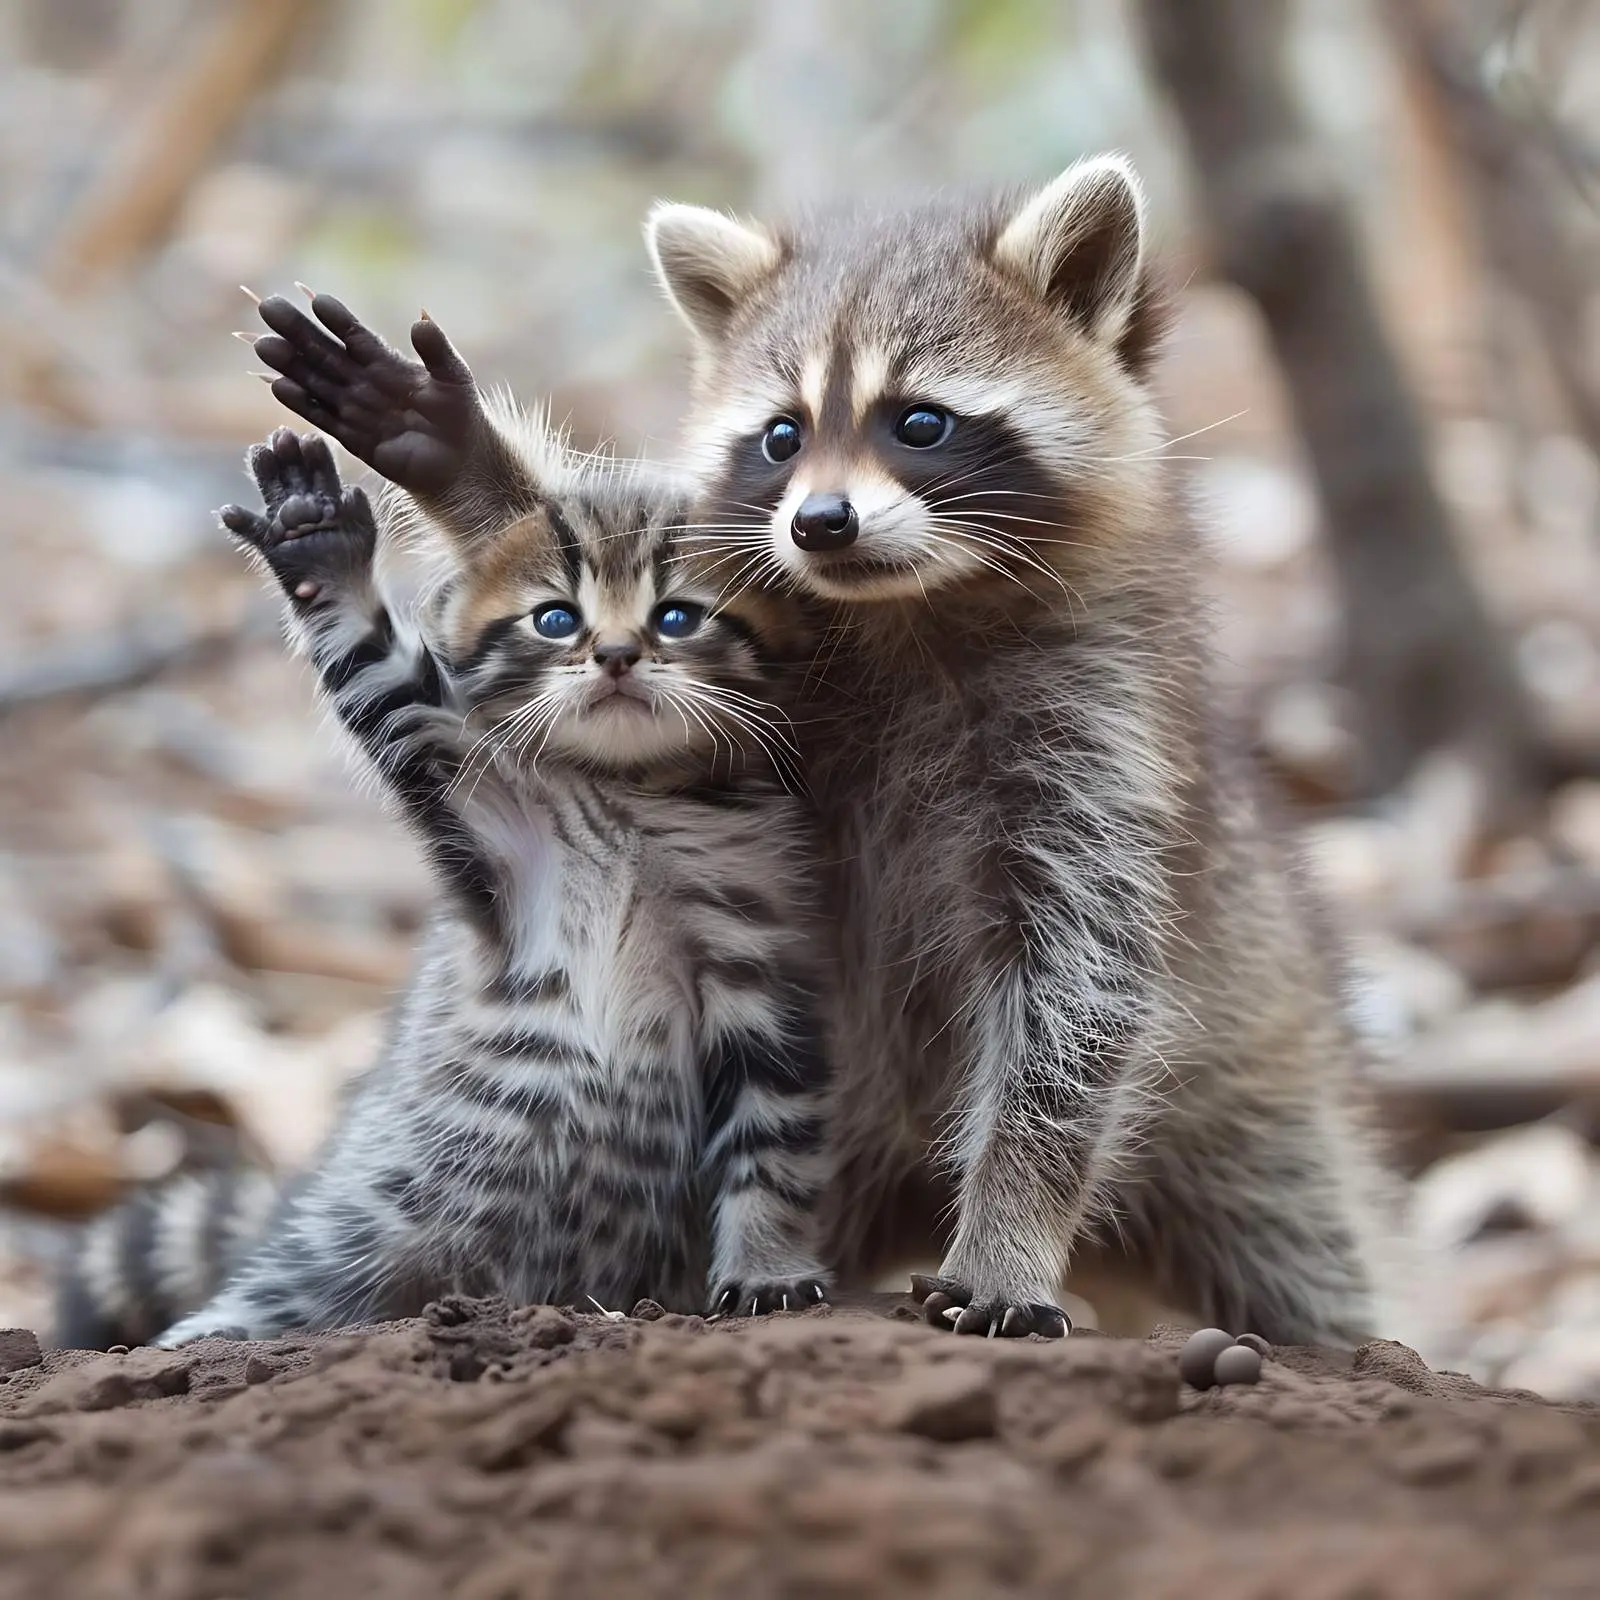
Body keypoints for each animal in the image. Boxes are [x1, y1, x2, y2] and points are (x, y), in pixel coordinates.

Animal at [65, 301, 832, 1348]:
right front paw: (324, 560)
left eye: (678, 617)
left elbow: (776, 1125)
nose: (617, 656)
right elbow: (385, 685)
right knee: (284, 1288)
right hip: (360, 1227)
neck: (633, 798)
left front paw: (769, 1257)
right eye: (557, 620)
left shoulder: (760, 951)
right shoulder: (482, 808)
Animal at [643, 155, 1394, 1343]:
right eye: (781, 435)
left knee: (1310, 1245)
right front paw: (759, 1226)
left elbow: (1076, 998)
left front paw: (1010, 1231)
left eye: (919, 423)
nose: (819, 524)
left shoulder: (1103, 744)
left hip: (1263, 1100)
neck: (909, 611)